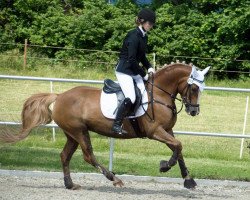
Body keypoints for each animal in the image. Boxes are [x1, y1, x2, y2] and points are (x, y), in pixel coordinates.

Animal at [0, 63, 210, 190]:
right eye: (194, 88)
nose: (194, 111)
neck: (158, 93)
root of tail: (59, 96)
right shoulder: (155, 131)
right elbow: (178, 146)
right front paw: (165, 166)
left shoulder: (167, 130)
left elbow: (178, 148)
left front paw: (188, 180)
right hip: (79, 131)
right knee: (88, 156)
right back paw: (114, 179)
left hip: (72, 134)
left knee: (65, 156)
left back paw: (70, 184)